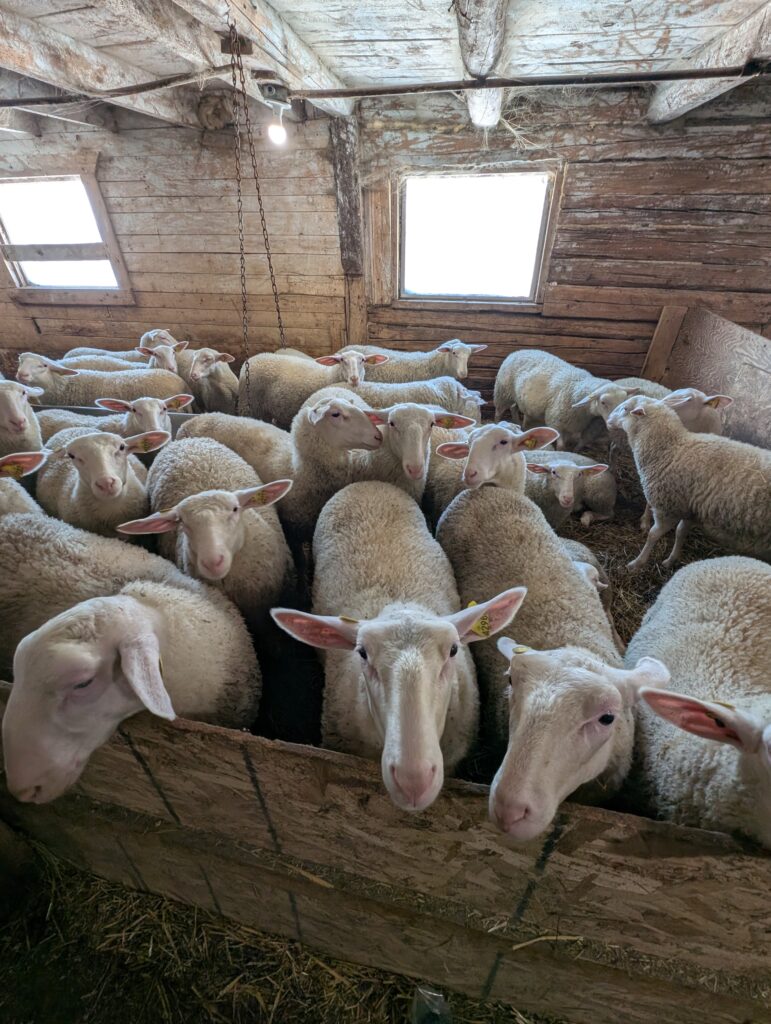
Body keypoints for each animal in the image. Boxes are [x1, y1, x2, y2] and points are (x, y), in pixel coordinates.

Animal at [238, 349, 386, 427]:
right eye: (342, 360)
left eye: (363, 360)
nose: (354, 379)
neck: (330, 374)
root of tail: (253, 359)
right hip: (248, 405)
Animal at [493, 349, 641, 450]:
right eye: (603, 402)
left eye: (624, 402)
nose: (613, 425)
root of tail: (518, 351)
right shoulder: (556, 422)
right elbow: (561, 446)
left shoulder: (573, 427)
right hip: (503, 393)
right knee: (499, 411)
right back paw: (495, 423)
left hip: (514, 396)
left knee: (513, 407)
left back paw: (517, 421)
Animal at [607, 396, 771, 569]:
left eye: (625, 409)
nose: (608, 420)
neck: (669, 448)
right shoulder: (690, 507)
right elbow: (680, 532)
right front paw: (671, 559)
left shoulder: (668, 508)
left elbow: (653, 535)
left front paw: (636, 563)